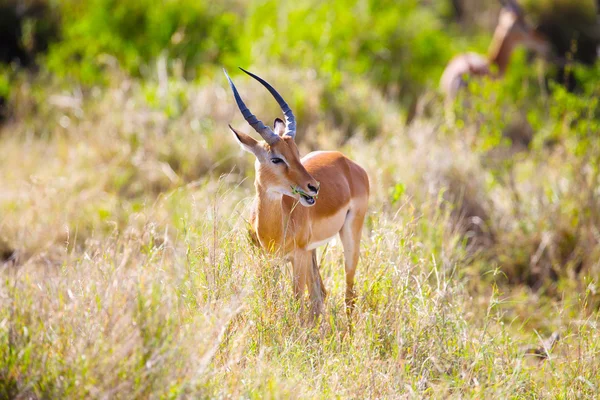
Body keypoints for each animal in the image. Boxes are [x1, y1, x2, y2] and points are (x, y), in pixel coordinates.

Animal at [223, 69, 368, 318]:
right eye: (276, 158)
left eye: (297, 153)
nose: (314, 187)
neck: (273, 229)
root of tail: (345, 160)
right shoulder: (268, 260)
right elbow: (272, 301)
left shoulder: (296, 257)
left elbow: (297, 302)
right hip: (311, 252)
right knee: (321, 293)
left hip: (349, 238)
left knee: (348, 294)